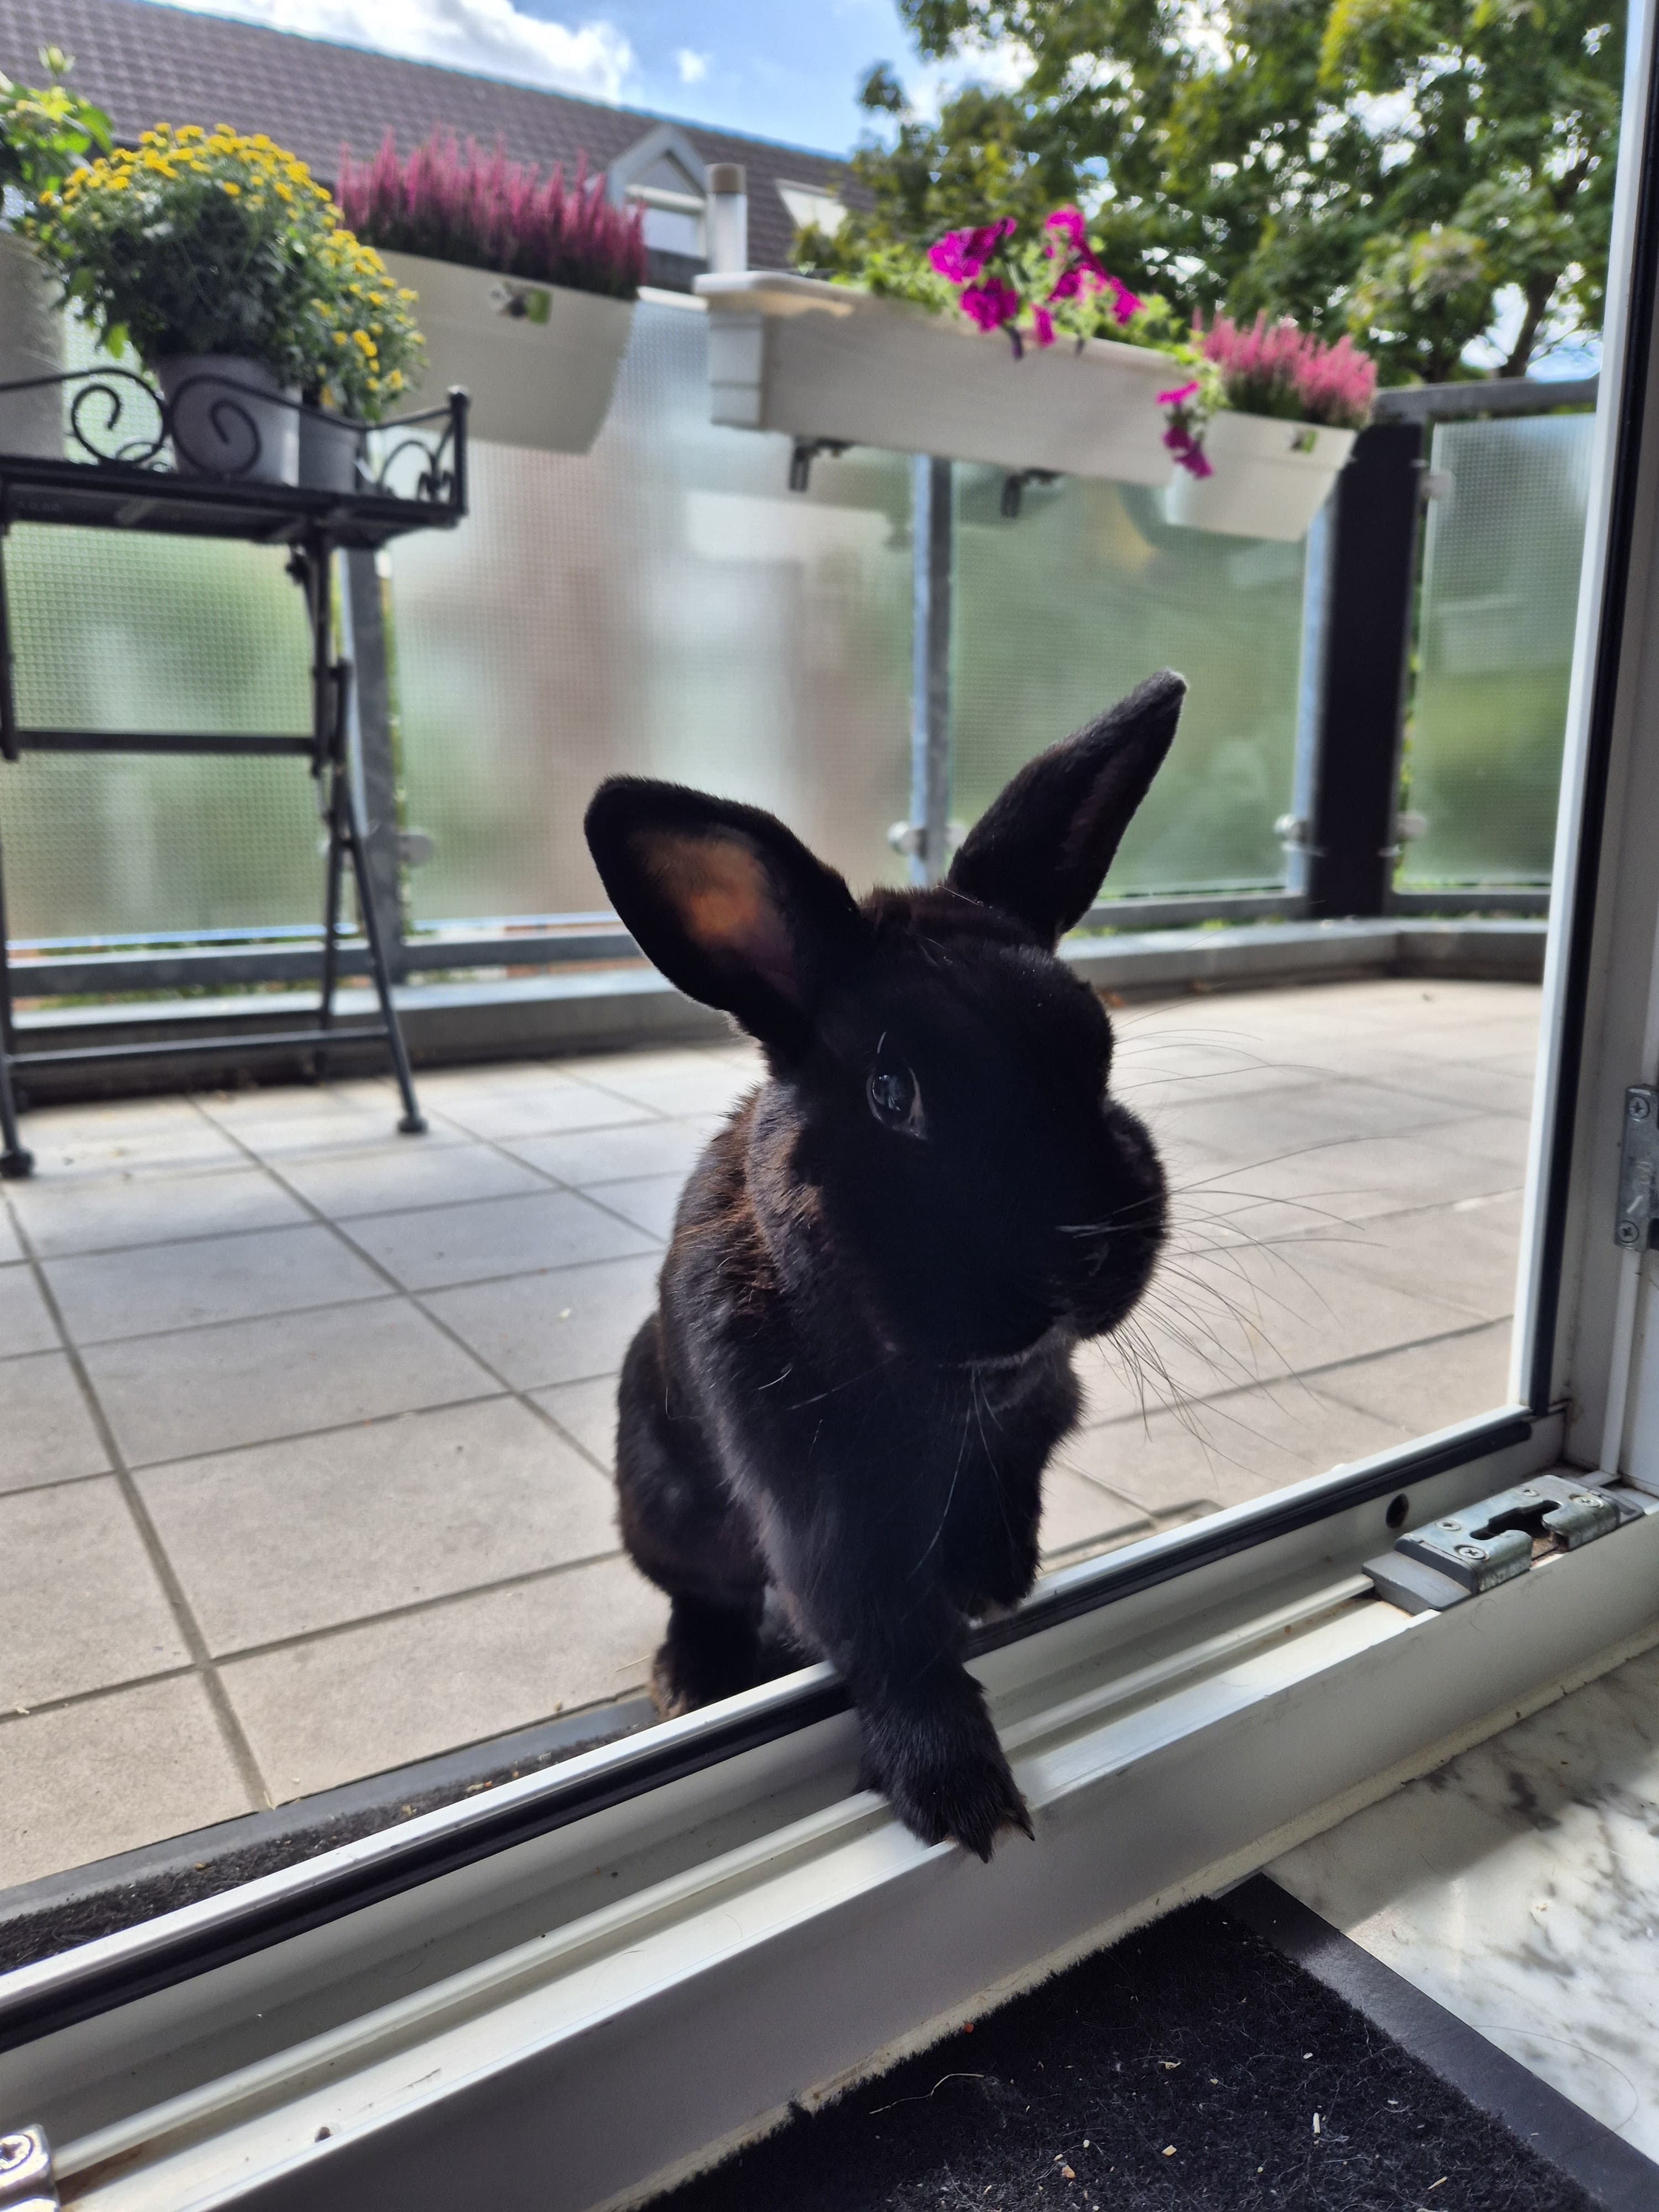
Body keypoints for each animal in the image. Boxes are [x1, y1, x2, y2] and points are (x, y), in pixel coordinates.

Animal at [583, 670, 1184, 1860]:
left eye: (1095, 1050)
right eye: (891, 1092)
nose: (1080, 1254)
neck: (942, 1378)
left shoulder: (1034, 1421)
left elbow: (1007, 1500)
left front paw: (997, 1577)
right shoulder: (822, 1514)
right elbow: (892, 1642)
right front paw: (960, 1792)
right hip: (659, 1499)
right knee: (703, 1593)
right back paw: (692, 1674)